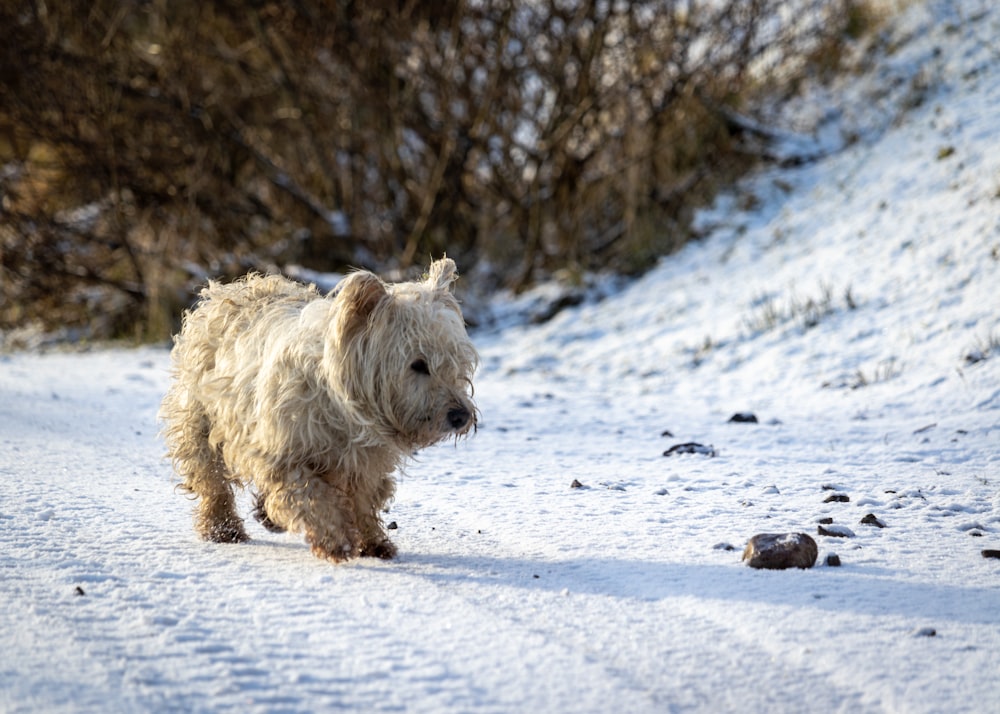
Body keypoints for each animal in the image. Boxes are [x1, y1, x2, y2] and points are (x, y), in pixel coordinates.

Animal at [158, 258, 478, 560]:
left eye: (455, 362)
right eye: (418, 364)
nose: (460, 415)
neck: (341, 408)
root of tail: (228, 289)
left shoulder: (366, 462)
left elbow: (364, 500)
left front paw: (374, 542)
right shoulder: (285, 453)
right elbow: (310, 496)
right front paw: (336, 541)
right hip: (199, 420)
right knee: (211, 479)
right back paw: (223, 528)